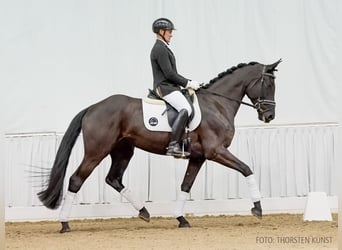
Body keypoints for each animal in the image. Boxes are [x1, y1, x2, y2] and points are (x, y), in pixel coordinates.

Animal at [38, 59, 282, 232]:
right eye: (269, 84)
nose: (269, 116)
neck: (217, 104)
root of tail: (92, 107)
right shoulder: (216, 151)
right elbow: (247, 169)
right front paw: (258, 208)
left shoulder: (198, 156)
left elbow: (185, 185)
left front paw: (181, 219)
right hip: (97, 151)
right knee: (76, 180)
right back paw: (65, 224)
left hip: (123, 151)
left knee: (113, 178)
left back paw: (144, 212)